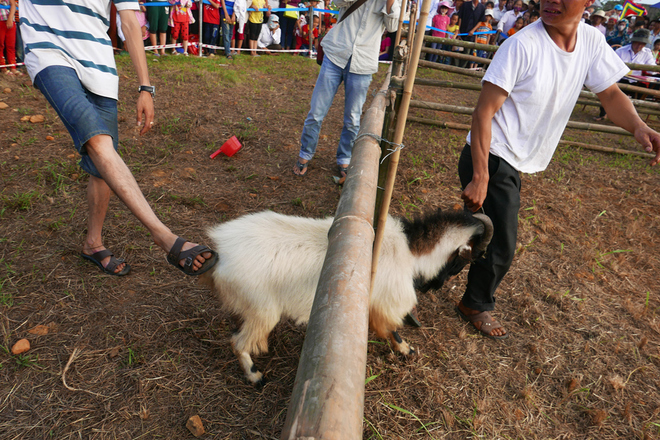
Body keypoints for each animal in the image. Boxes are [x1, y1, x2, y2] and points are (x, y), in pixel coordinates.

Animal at [204, 208, 492, 384]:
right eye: (465, 261)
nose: (434, 286)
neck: (410, 249)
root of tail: (220, 253)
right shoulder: (387, 301)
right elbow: (391, 328)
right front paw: (406, 349)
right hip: (262, 309)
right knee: (238, 342)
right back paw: (256, 377)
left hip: (246, 306)